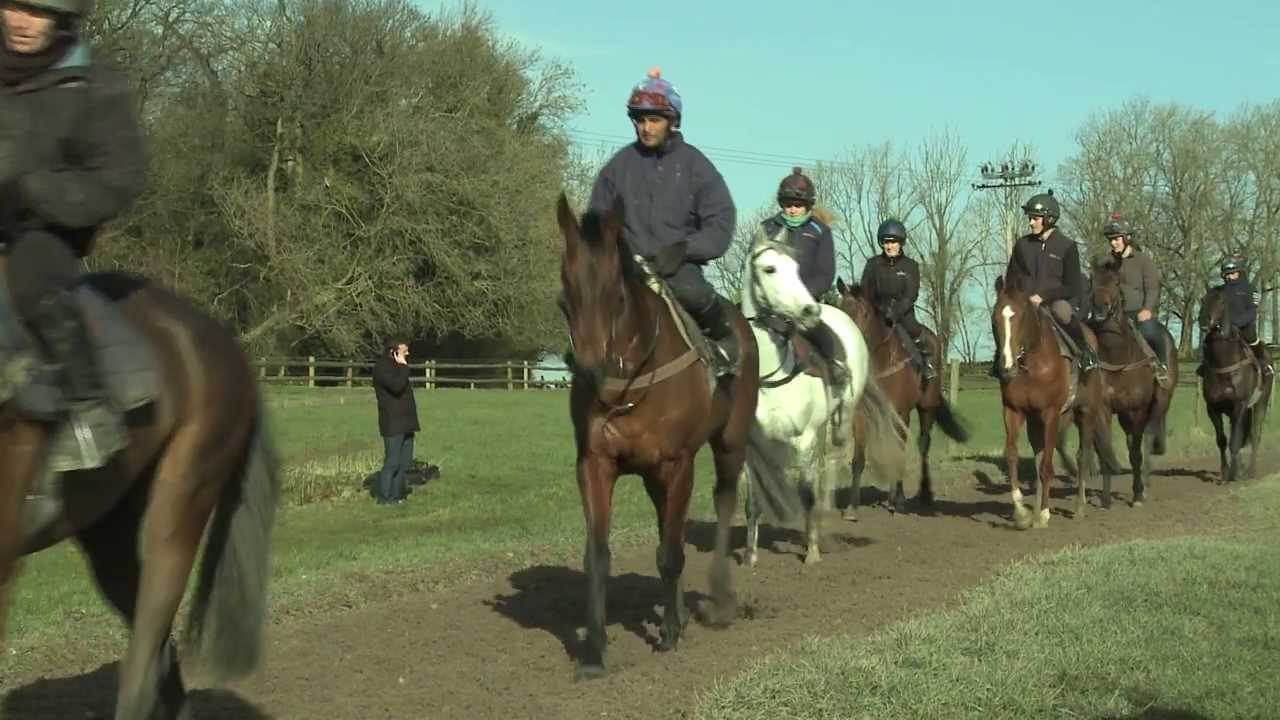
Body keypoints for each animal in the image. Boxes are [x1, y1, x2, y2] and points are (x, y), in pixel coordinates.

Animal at [552, 193, 752, 676]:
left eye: (614, 291)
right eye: (566, 290)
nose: (590, 370)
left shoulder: (678, 463)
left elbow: (671, 553)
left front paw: (668, 634)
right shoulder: (595, 464)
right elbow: (599, 556)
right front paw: (594, 650)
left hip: (729, 444)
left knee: (721, 504)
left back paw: (718, 597)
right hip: (651, 475)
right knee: (668, 526)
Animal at [737, 235, 906, 566]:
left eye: (796, 267)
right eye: (769, 268)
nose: (808, 311)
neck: (770, 374)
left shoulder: (804, 438)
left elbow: (806, 492)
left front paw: (812, 552)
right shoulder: (752, 447)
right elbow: (754, 501)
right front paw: (750, 556)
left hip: (840, 421)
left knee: (830, 464)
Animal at [834, 275, 962, 515]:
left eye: (865, 314)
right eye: (841, 309)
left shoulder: (901, 412)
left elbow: (900, 450)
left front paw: (897, 500)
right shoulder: (862, 415)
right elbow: (859, 458)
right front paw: (852, 507)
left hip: (925, 408)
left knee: (923, 444)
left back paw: (922, 495)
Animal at [1090, 266, 1177, 507]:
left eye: (1116, 282)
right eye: (1092, 280)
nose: (1099, 311)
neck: (1119, 358)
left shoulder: (1137, 410)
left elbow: (1136, 453)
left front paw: (1137, 495)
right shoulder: (1104, 409)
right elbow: (1105, 450)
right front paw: (1105, 499)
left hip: (1157, 406)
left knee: (1146, 440)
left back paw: (1145, 485)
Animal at [1198, 285, 1269, 481]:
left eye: (1221, 301)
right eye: (1202, 299)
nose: (1204, 322)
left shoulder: (1239, 405)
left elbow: (1235, 441)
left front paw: (1233, 474)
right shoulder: (1213, 408)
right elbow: (1222, 440)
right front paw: (1225, 473)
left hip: (1260, 405)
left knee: (1255, 435)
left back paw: (1251, 471)